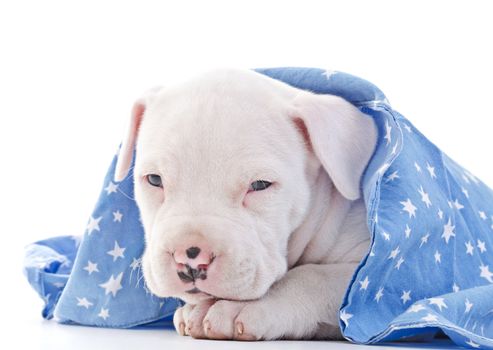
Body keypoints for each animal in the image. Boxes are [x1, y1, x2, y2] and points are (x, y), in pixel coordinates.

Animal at [114, 69, 376, 340]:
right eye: (154, 180)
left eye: (260, 185)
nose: (190, 258)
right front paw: (198, 309)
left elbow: (317, 276)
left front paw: (240, 307)